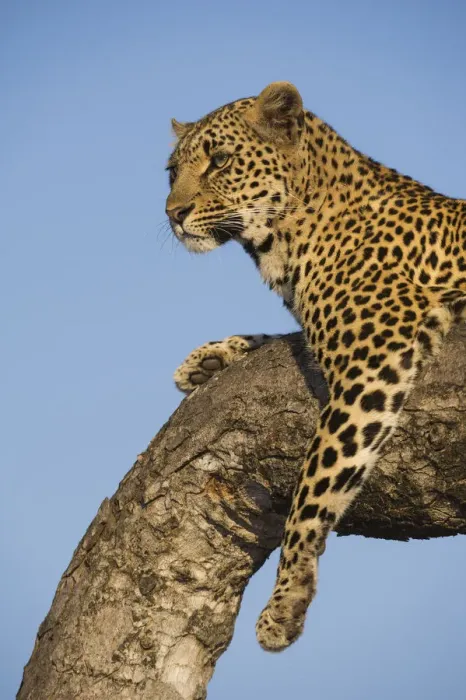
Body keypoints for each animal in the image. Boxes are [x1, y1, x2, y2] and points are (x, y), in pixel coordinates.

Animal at [165, 82, 466, 652]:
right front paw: (207, 359)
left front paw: (285, 601)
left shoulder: (374, 357)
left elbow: (315, 482)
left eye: (219, 160)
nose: (173, 212)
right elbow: (288, 339)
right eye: (171, 170)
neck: (282, 242)